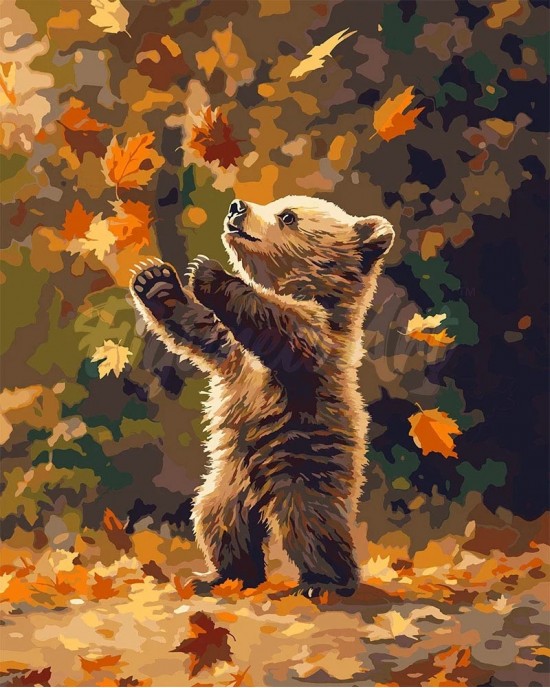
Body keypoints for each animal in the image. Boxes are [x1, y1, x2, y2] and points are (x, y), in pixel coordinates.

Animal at [130, 195, 394, 598]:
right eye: (277, 204)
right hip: (230, 480)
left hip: (305, 464)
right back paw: (224, 576)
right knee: (217, 520)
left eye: (288, 216)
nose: (237, 207)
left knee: (312, 523)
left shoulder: (316, 341)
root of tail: (262, 495)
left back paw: (325, 581)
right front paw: (156, 281)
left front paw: (209, 272)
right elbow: (202, 329)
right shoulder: (232, 353)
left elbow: (283, 329)